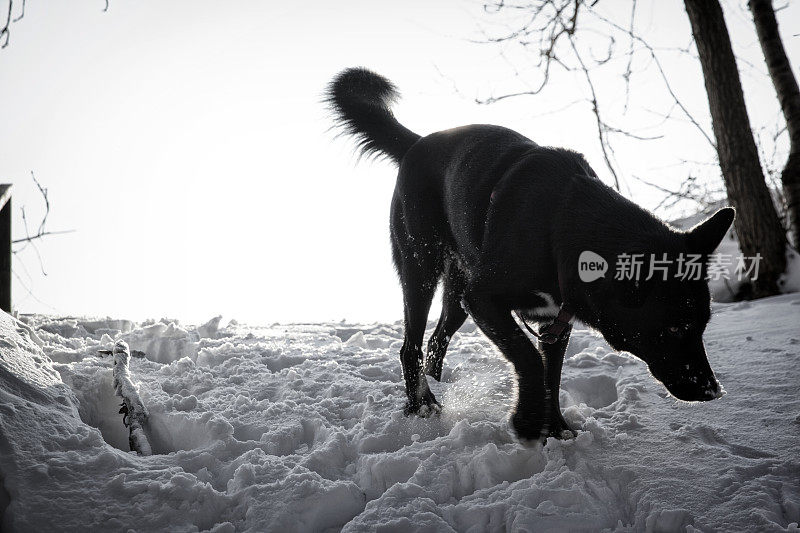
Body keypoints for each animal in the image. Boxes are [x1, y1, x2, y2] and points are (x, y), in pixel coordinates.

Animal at [324, 67, 732, 440]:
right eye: (674, 327)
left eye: (704, 325)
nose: (712, 391)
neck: (561, 226)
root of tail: (417, 142)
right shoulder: (486, 299)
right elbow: (530, 361)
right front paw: (528, 423)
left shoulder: (553, 320)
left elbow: (552, 373)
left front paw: (556, 428)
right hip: (421, 266)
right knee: (410, 345)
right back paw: (423, 403)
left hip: (458, 292)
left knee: (438, 337)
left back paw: (438, 386)